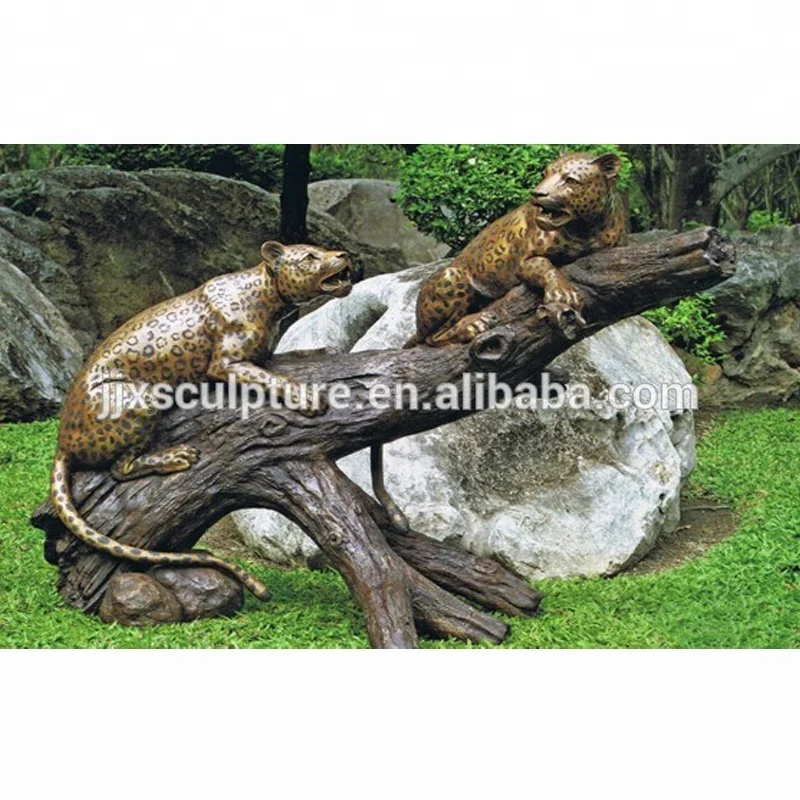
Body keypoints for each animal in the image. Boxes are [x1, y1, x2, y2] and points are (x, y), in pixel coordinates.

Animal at [51, 241, 354, 602]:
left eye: (322, 250)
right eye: (310, 256)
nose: (343, 255)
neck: (267, 295)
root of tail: (62, 443)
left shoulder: (264, 357)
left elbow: (293, 358)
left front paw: (328, 351)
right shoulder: (226, 364)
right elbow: (273, 378)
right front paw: (306, 396)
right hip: (140, 396)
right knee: (119, 468)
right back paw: (175, 456)